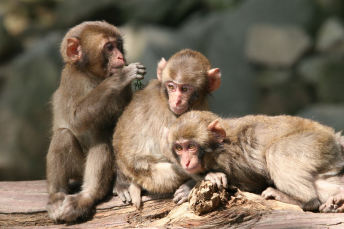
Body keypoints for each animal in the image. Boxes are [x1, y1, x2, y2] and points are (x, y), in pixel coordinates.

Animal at [45, 20, 145, 223]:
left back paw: (88, 195)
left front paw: (124, 184)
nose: (120, 56)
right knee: (64, 136)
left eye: (119, 45)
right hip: (78, 168)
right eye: (109, 47)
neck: (93, 76)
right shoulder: (72, 80)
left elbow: (122, 130)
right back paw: (58, 196)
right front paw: (121, 77)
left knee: (101, 139)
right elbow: (75, 119)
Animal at [113, 49, 220, 208]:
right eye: (171, 87)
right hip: (153, 178)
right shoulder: (168, 114)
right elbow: (169, 148)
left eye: (185, 89)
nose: (176, 100)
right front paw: (208, 175)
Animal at [167, 110, 344, 212]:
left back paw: (303, 200)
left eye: (191, 147)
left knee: (276, 151)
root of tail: (333, 137)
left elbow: (250, 186)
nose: (186, 162)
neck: (219, 147)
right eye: (179, 148)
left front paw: (208, 177)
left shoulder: (232, 162)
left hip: (316, 143)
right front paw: (189, 186)